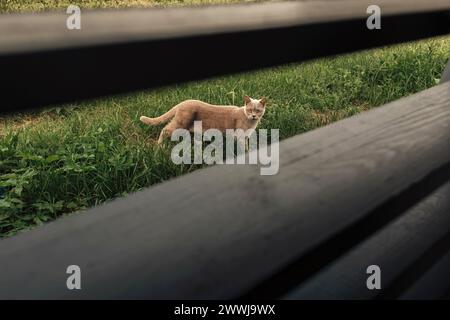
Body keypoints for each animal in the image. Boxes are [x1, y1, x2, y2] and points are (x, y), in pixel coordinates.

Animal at [140, 95, 268, 144]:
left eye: (258, 110)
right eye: (250, 110)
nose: (253, 116)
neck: (251, 123)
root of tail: (183, 102)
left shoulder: (245, 137)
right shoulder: (240, 136)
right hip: (181, 122)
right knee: (165, 129)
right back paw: (159, 146)